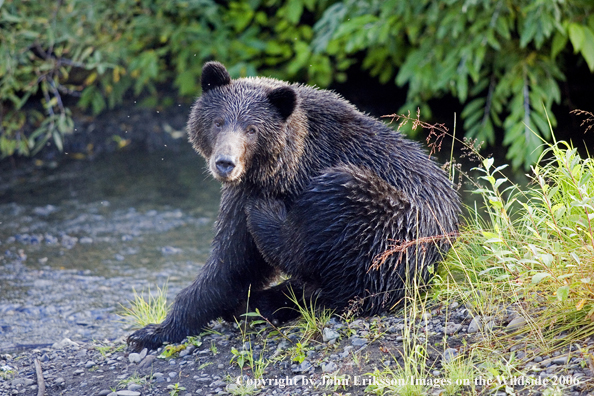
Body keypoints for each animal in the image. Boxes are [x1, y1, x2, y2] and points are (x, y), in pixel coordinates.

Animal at [127, 60, 458, 352]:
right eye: (218, 121)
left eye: (251, 129)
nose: (225, 163)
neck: (283, 164)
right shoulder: (245, 187)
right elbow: (232, 264)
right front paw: (153, 331)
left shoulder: (262, 187)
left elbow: (235, 258)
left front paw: (150, 331)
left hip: (388, 224)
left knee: (318, 248)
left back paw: (267, 228)